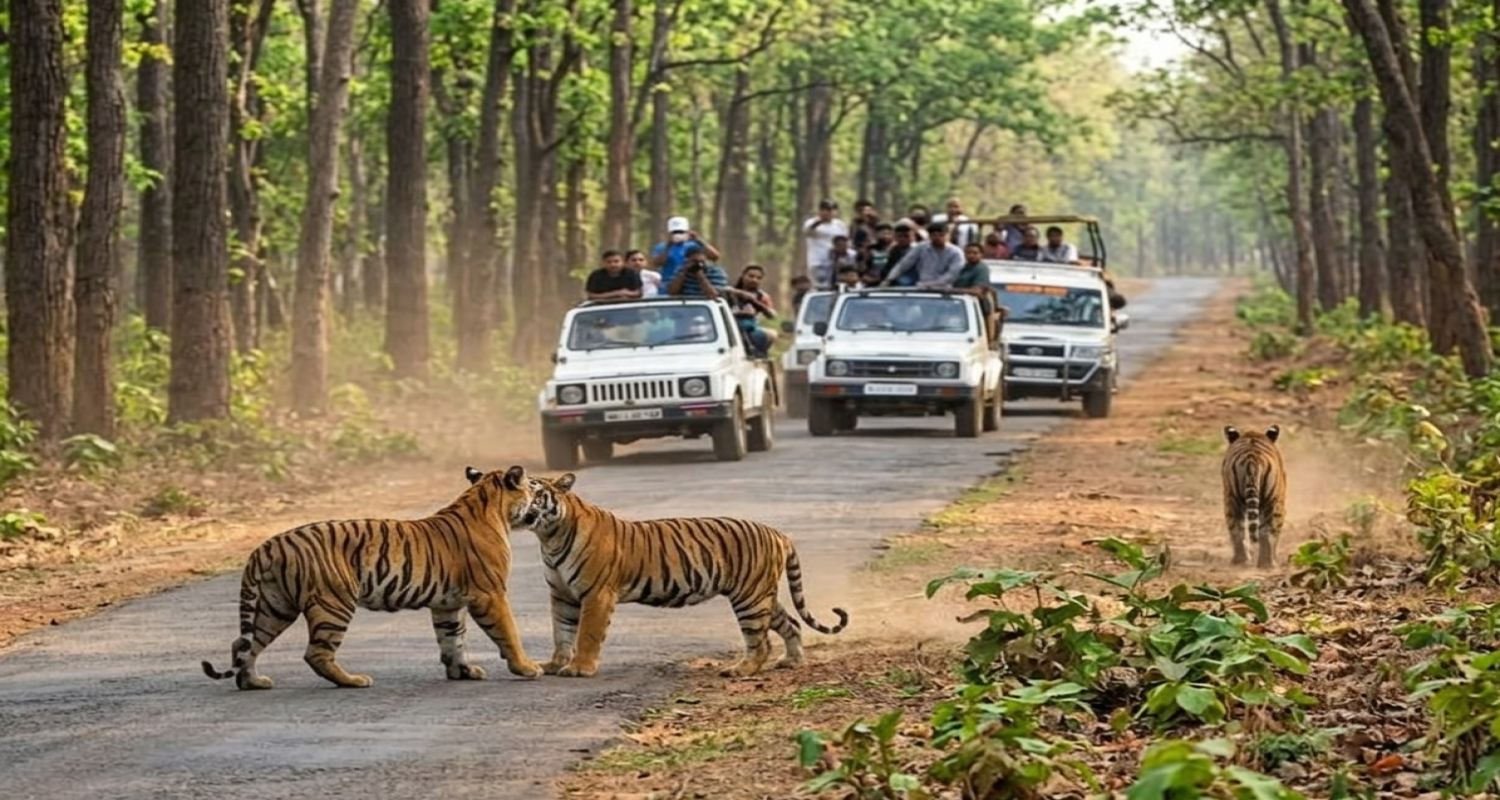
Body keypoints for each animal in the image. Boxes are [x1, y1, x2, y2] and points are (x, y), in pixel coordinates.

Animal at [201, 465, 544, 690]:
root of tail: (268, 545)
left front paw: (463, 671)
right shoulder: (491, 594)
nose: (539, 498)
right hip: (334, 603)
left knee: (243, 643)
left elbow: (453, 639)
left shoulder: (447, 604)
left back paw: (253, 682)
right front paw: (527, 668)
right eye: (533, 488)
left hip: (276, 607)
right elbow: (509, 633)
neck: (489, 504)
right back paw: (354, 681)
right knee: (316, 653)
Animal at [472, 469, 850, 679]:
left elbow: (588, 634)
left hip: (750, 597)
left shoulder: (597, 594)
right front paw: (555, 664)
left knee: (759, 642)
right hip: (761, 594)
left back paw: (740, 671)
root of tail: (777, 531)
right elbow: (561, 633)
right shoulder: (562, 595)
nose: (521, 501)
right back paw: (792, 661)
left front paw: (580, 668)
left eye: (535, 490)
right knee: (791, 624)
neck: (549, 537)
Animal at [1221, 424, 1288, 568]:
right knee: (1267, 532)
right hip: (1272, 501)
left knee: (1237, 530)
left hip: (1232, 499)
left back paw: (1241, 560)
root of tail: (1251, 459)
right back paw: (1267, 563)